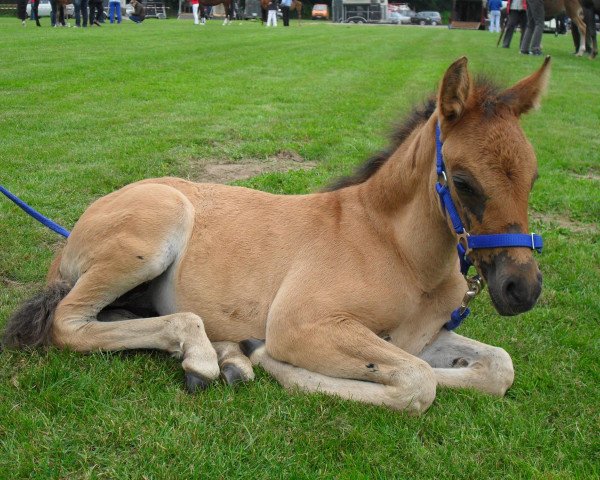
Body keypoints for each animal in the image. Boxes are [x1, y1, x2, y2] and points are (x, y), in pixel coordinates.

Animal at [3, 58, 548, 414]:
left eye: (534, 176)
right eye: (463, 181)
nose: (522, 289)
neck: (396, 249)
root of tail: (78, 227)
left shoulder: (421, 335)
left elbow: (495, 368)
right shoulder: (301, 324)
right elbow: (417, 381)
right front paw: (270, 359)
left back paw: (226, 357)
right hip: (155, 231)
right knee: (70, 323)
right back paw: (206, 356)